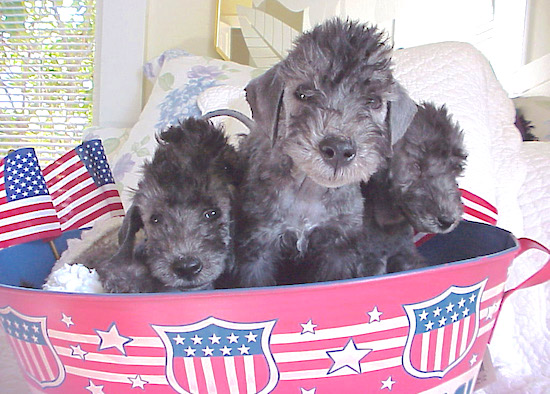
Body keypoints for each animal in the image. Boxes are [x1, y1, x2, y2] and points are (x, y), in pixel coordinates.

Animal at [232, 18, 418, 286]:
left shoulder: (337, 249)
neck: (309, 190)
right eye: (303, 93)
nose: (339, 149)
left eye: (373, 101)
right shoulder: (259, 246)